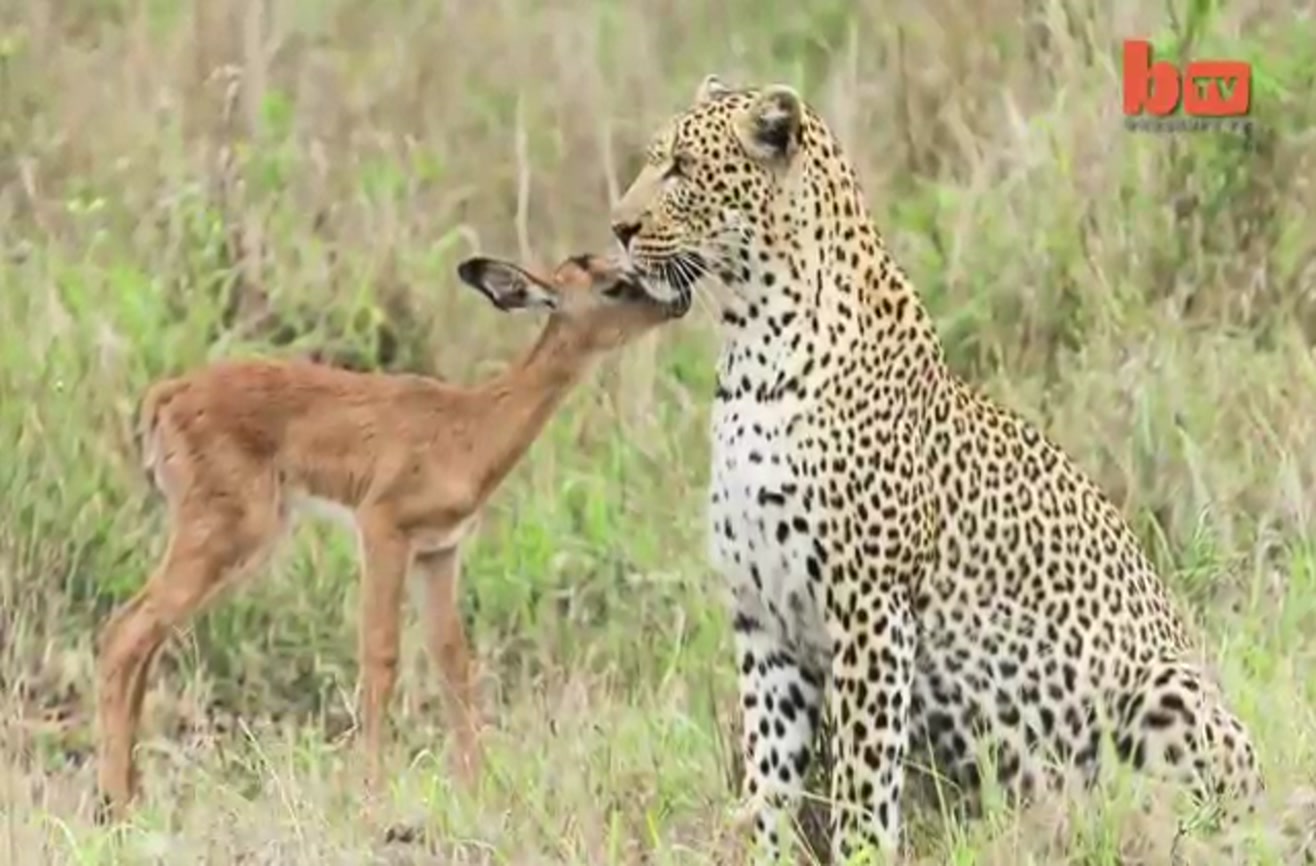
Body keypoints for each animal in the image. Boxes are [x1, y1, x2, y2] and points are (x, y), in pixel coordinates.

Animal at [607, 77, 1263, 858]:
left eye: (680, 168)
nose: (617, 228)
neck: (751, 351)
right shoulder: (761, 618)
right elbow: (769, 776)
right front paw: (766, 851)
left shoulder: (868, 607)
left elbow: (862, 774)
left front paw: (860, 854)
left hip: (1167, 691)